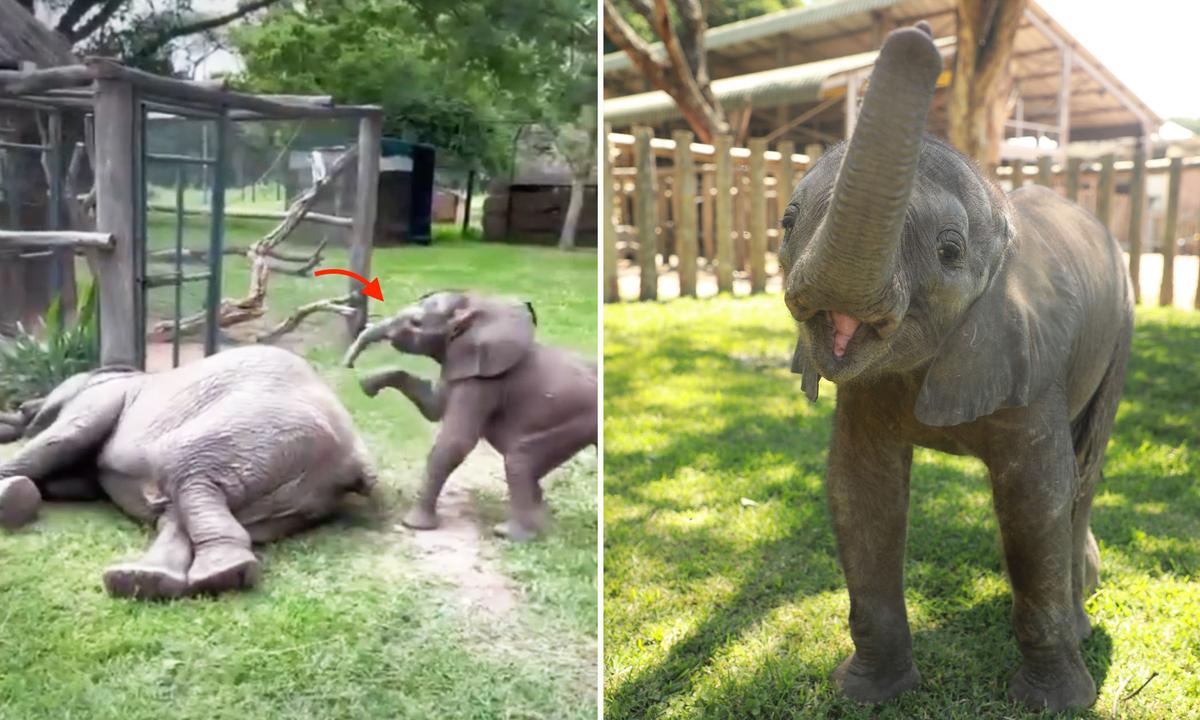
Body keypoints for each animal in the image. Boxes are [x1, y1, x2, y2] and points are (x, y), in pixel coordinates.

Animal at [0, 346, 377, 600]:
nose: (22, 406)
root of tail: (353, 456)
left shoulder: (102, 397)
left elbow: (63, 438)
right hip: (296, 494)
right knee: (179, 507)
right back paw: (144, 580)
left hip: (263, 429)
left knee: (186, 467)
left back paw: (219, 573)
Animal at [343, 291, 597, 541]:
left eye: (416, 323)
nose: (348, 365)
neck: (475, 307)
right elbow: (433, 407)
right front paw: (368, 384)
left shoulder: (483, 381)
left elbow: (455, 442)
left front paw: (413, 525)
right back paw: (541, 528)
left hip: (574, 422)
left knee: (519, 460)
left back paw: (509, 533)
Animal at [779, 22, 1132, 712]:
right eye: (786, 222)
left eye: (949, 252)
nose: (918, 33)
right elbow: (859, 489)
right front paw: (868, 692)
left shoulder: (1031, 361)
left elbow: (1036, 497)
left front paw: (1052, 704)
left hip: (1122, 332)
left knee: (1085, 469)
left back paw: (1081, 613)